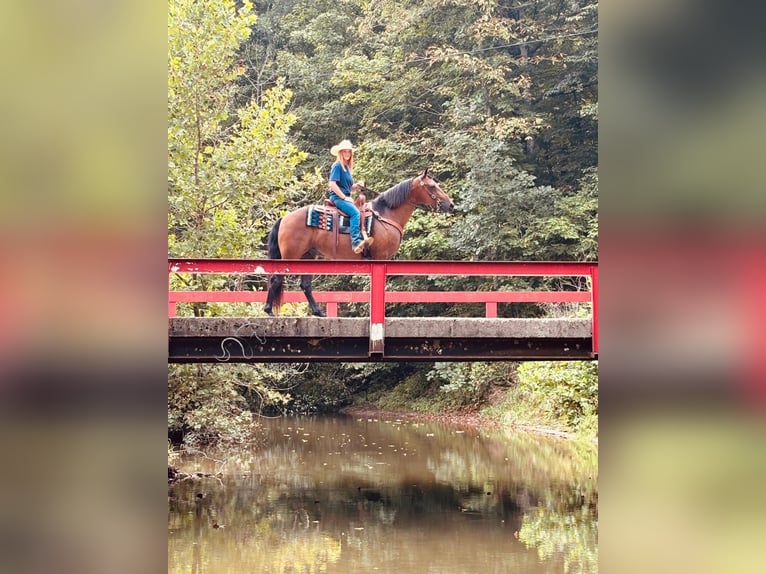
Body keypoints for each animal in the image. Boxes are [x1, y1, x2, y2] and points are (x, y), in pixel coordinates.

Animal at [264, 166, 456, 320]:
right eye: (432, 186)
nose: (451, 204)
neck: (386, 215)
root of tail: (285, 218)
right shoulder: (380, 258)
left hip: (308, 256)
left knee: (305, 284)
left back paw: (318, 312)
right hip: (291, 256)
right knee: (276, 279)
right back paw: (268, 310)